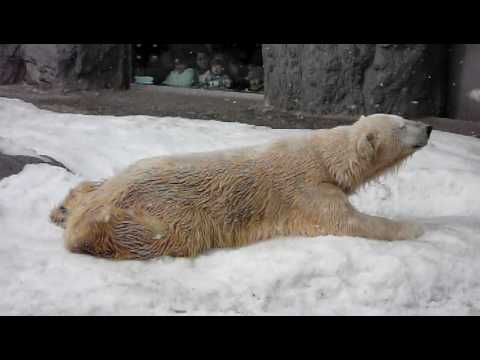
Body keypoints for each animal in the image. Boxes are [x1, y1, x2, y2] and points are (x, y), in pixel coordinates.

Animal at [51, 114, 432, 258]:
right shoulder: (306, 190)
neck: (323, 157)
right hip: (162, 209)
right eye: (401, 125)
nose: (428, 127)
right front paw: (414, 227)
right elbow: (347, 221)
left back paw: (64, 207)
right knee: (169, 235)